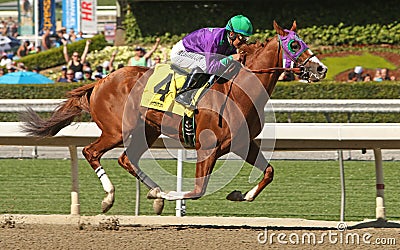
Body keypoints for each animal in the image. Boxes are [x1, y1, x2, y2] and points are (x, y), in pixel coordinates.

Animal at [21, 21, 324, 215]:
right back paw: (111, 197)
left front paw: (241, 194)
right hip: (116, 131)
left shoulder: (242, 144)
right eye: (294, 44)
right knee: (90, 152)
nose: (321, 69)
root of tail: (101, 81)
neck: (238, 91)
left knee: (126, 159)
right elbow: (197, 189)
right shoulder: (208, 148)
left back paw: (153, 195)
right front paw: (168, 195)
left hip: (147, 130)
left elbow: (269, 172)